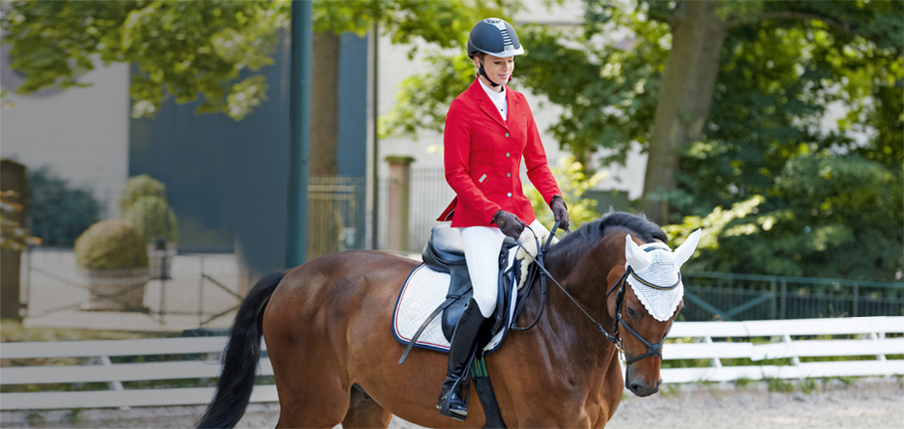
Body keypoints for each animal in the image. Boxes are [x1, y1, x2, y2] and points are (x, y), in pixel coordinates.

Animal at [194, 212, 696, 426]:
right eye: (632, 309)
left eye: (678, 311)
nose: (645, 385)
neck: (564, 324)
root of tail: (292, 277)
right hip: (313, 404)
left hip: (365, 404)